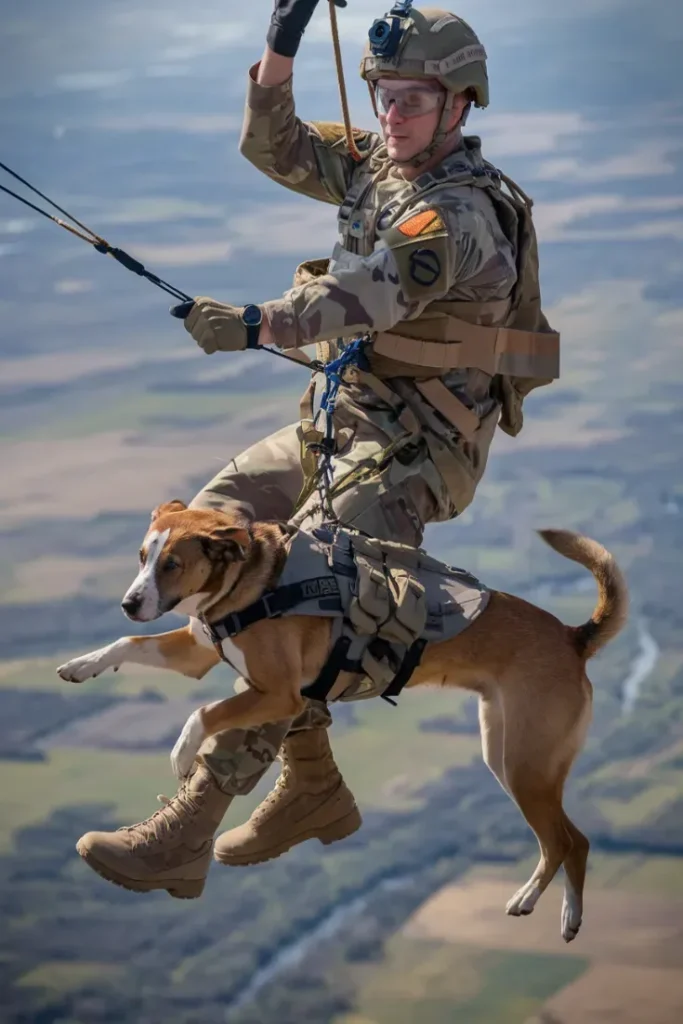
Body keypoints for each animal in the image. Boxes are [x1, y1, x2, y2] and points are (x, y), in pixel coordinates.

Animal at [58, 499, 630, 937]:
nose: (130, 602)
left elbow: (204, 713)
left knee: (567, 841)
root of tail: (573, 639)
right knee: (568, 840)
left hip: (525, 766)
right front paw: (81, 665)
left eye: (172, 564)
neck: (251, 580)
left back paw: (556, 912)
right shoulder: (198, 651)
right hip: (506, 755)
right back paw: (545, 907)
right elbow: (129, 644)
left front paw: (181, 752)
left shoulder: (279, 694)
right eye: (141, 557)